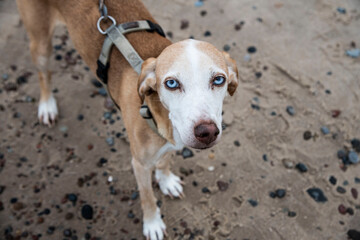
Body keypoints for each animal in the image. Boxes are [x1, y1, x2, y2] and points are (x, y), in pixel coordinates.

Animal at [15, 0, 238, 239]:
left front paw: (166, 180)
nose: (207, 132)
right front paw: (152, 224)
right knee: (43, 74)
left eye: (219, 80)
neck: (160, 114)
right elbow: (147, 197)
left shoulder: (169, 142)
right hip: (40, 43)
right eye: (171, 83)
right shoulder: (139, 163)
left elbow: (164, 160)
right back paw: (47, 105)